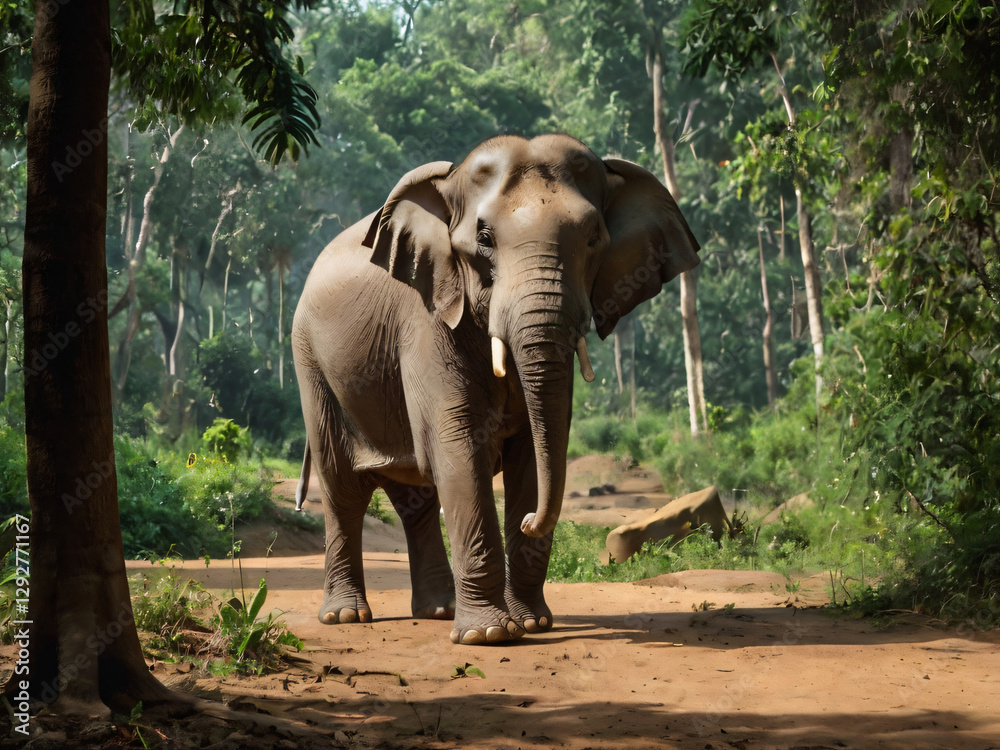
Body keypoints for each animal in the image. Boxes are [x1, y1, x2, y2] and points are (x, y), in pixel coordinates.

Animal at [291, 133, 699, 645]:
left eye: (593, 239)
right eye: (484, 240)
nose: (529, 521)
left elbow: (534, 449)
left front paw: (532, 623)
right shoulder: (427, 315)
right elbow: (457, 443)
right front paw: (488, 635)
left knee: (414, 495)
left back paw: (439, 611)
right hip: (310, 361)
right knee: (343, 486)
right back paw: (346, 616)